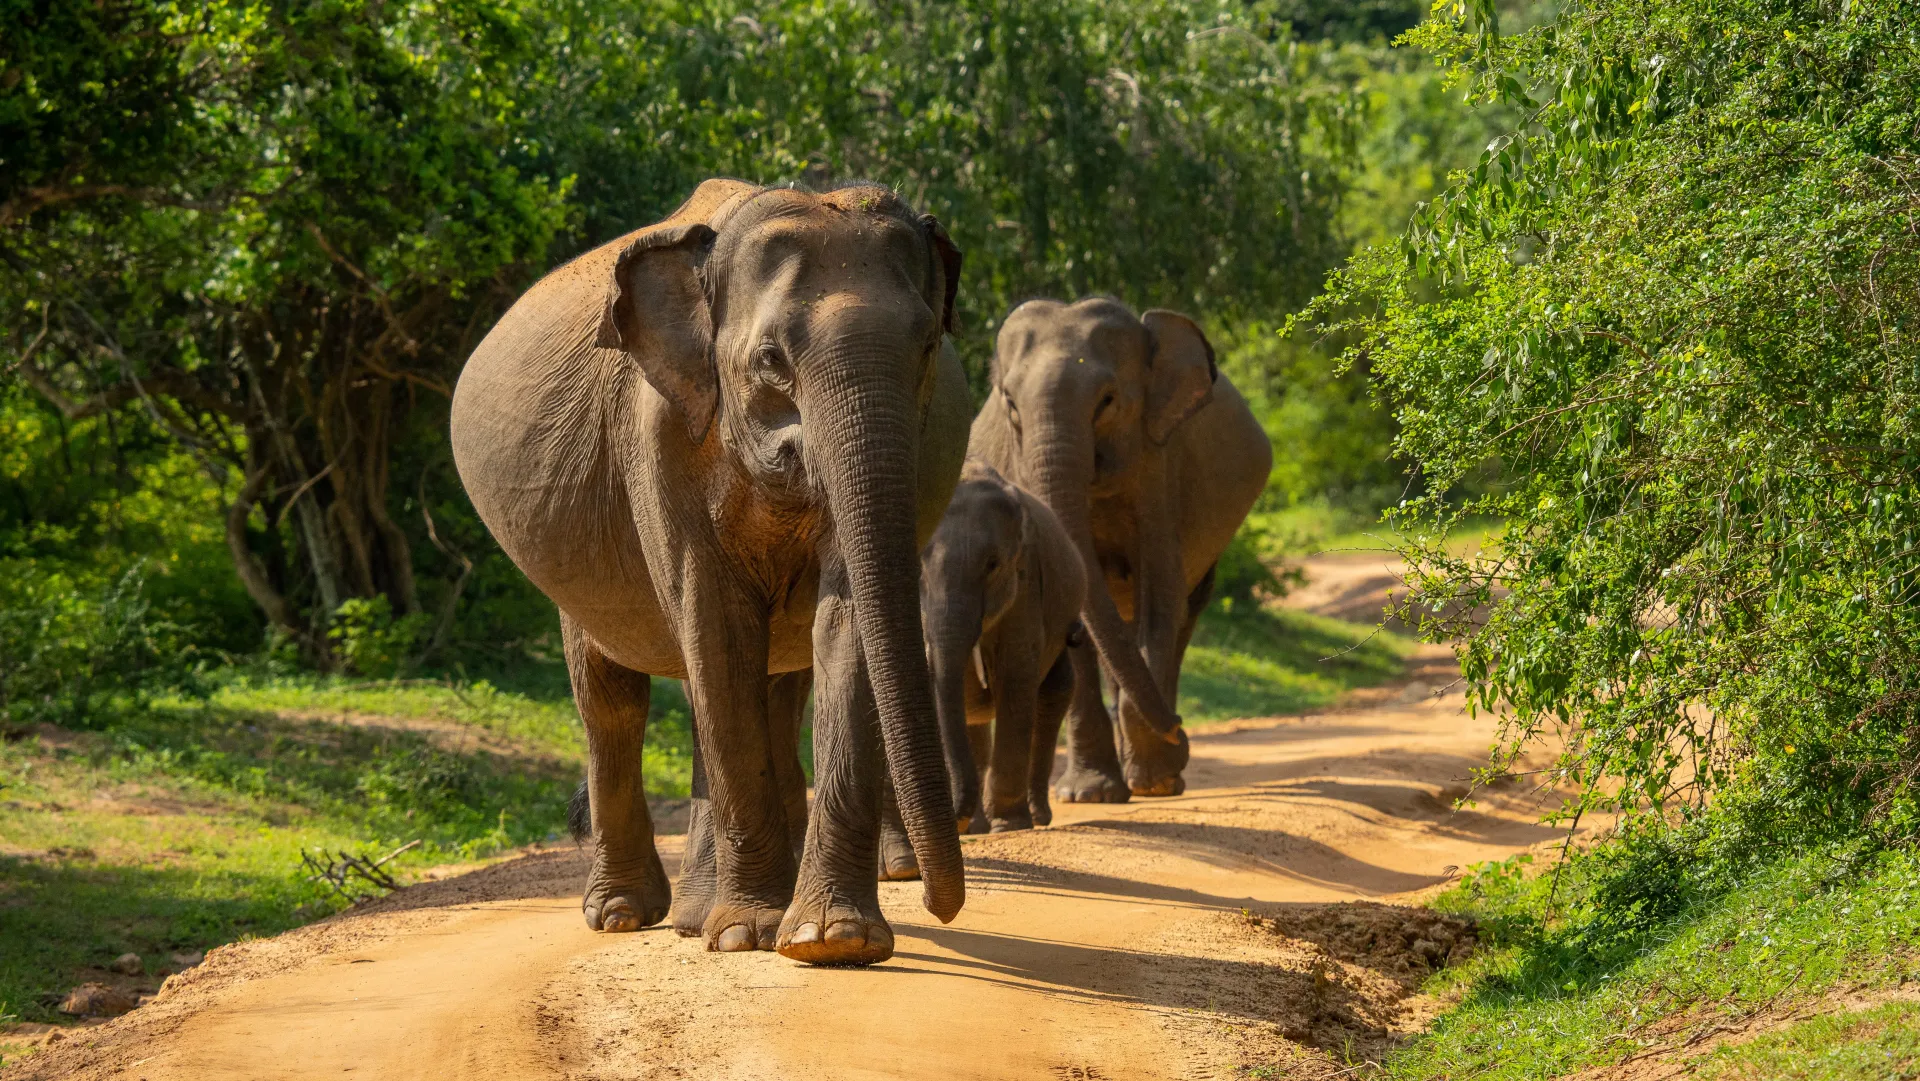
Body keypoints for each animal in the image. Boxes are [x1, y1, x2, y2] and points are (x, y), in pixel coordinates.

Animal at [450, 178, 974, 966]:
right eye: (770, 359)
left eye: (927, 349)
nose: (944, 904)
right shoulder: (661, 435)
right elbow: (717, 628)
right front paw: (750, 934)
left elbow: (843, 622)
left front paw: (830, 940)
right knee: (613, 698)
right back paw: (629, 915)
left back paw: (699, 914)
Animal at [969, 297, 1272, 801]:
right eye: (1010, 403)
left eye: (1108, 401)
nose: (1182, 730)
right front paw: (1088, 795)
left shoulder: (1158, 470)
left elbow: (1161, 602)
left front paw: (1156, 782)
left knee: (1182, 615)